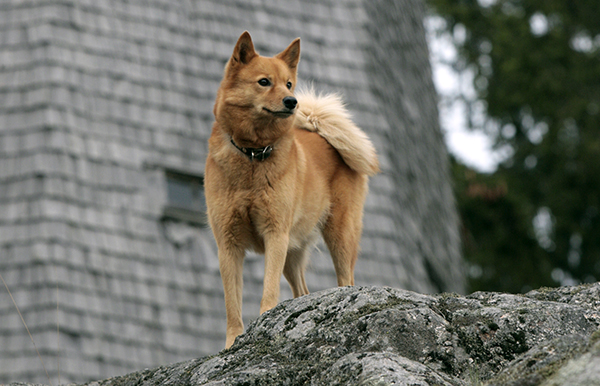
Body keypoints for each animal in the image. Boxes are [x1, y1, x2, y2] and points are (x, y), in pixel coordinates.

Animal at [204, 31, 378, 348]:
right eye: (264, 81)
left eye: (288, 83)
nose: (292, 101)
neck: (252, 155)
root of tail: (322, 134)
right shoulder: (228, 244)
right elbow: (232, 304)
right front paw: (233, 341)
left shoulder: (275, 234)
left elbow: (269, 288)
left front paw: (264, 318)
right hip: (293, 253)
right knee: (303, 292)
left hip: (339, 235)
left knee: (346, 281)